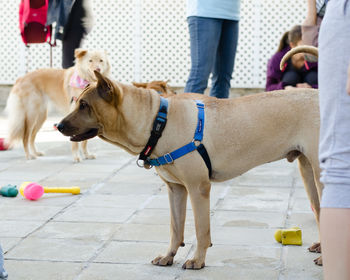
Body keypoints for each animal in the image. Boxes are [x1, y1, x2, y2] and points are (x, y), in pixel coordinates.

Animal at [56, 72, 322, 270]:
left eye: (84, 105)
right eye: (77, 102)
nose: (57, 125)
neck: (158, 122)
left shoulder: (198, 188)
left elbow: (201, 230)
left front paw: (198, 260)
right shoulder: (176, 190)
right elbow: (176, 228)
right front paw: (169, 255)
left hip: (321, 176)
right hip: (308, 175)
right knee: (320, 213)